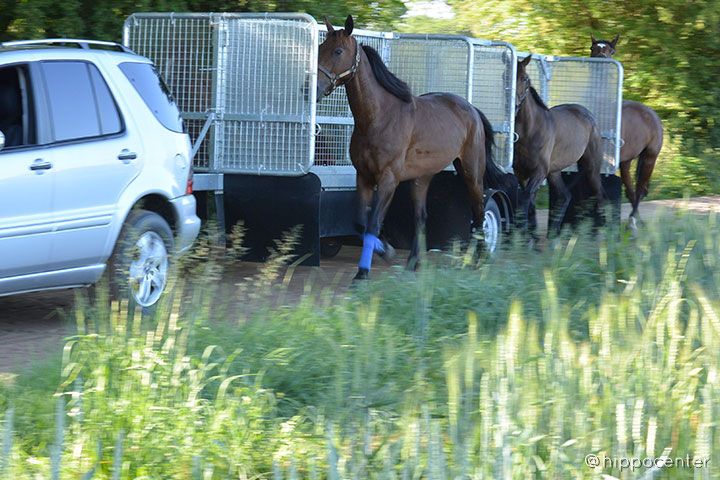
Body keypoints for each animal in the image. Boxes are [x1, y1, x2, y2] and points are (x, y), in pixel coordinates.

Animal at [316, 16, 506, 280]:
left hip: (471, 171)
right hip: (421, 178)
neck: (379, 118)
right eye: (321, 47)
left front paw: (363, 273)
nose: (311, 87)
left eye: (337, 51)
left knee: (479, 211)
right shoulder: (364, 176)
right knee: (421, 217)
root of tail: (472, 110)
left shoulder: (388, 179)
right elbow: (360, 224)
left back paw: (481, 259)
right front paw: (387, 251)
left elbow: (373, 224)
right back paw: (414, 262)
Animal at [516, 55, 604, 235]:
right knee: (566, 197)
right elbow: (529, 203)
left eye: (524, 78)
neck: (530, 130)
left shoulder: (539, 172)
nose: (514, 104)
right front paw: (528, 236)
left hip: (591, 168)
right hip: (554, 172)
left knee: (599, 195)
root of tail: (588, 115)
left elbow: (526, 199)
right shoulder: (521, 173)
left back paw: (597, 234)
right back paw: (554, 233)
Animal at [592, 34, 664, 220]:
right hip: (626, 162)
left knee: (638, 190)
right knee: (631, 190)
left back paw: (634, 220)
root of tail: (651, 113)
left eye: (612, 51)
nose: (601, 61)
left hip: (649, 158)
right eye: (593, 48)